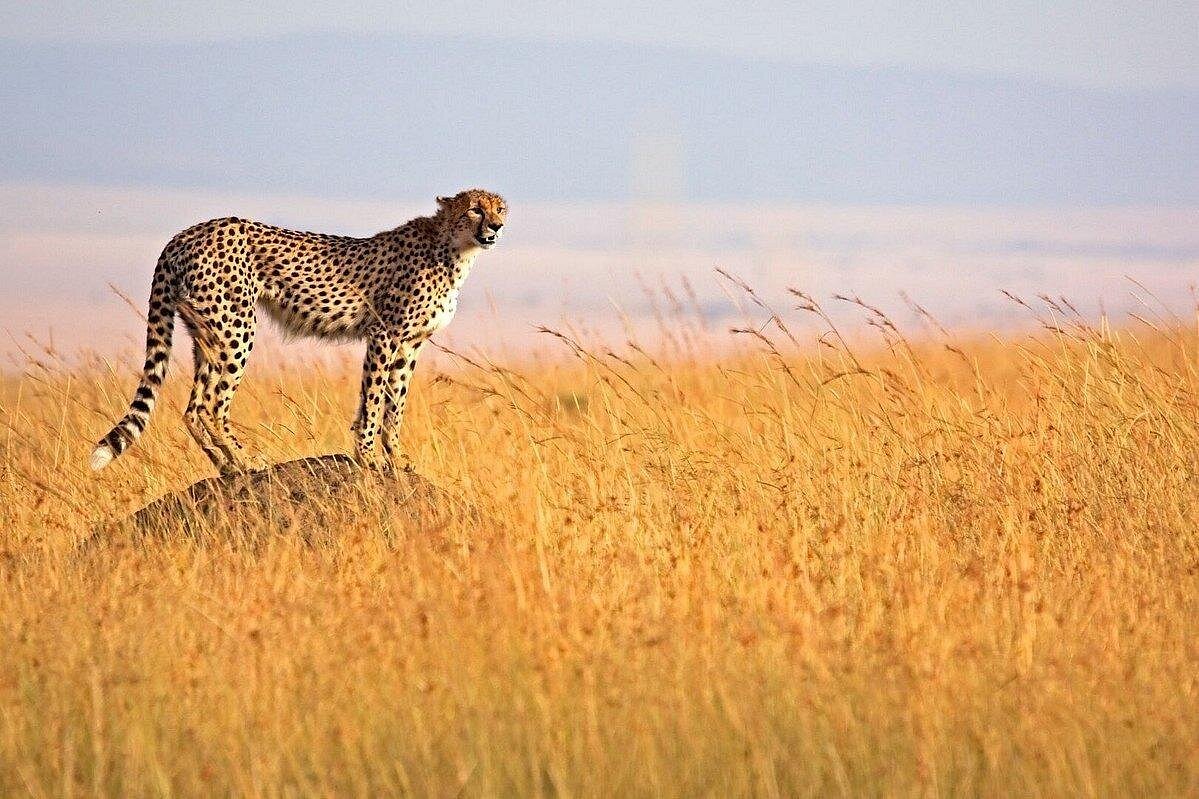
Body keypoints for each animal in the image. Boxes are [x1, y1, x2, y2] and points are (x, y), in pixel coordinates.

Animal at [90, 188, 507, 474]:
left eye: (500, 208)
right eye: (474, 208)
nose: (497, 226)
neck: (452, 249)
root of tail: (186, 233)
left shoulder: (409, 344)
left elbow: (394, 403)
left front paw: (396, 457)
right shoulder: (384, 334)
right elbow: (374, 400)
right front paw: (368, 457)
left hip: (207, 332)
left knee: (193, 408)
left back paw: (225, 467)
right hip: (237, 327)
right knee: (212, 404)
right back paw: (247, 460)